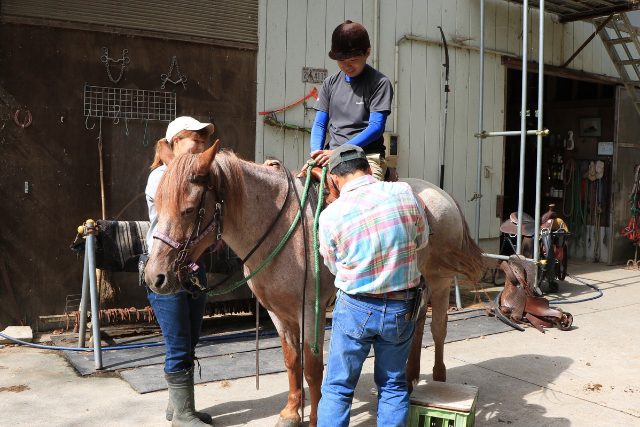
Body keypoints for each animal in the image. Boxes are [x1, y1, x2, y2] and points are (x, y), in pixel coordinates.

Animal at [145, 141, 484, 427]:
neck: (281, 229)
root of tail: (440, 194)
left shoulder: (311, 310)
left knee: (438, 329)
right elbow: (291, 362)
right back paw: (411, 379)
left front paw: (315, 417)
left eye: (189, 209)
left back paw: (438, 383)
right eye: (156, 206)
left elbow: (312, 368)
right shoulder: (278, 313)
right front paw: (291, 412)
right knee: (415, 327)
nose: (154, 278)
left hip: (440, 281)